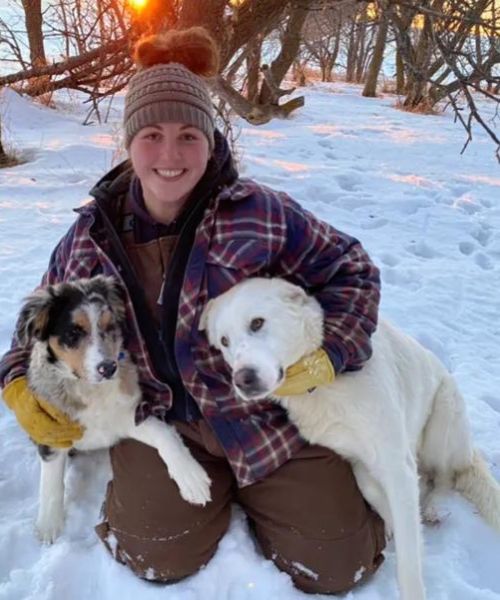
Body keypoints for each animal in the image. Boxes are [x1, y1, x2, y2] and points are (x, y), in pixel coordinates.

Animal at [200, 276, 500, 600]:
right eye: (224, 342)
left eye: (257, 323)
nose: (242, 379)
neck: (320, 388)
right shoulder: (355, 458)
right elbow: (373, 492)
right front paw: (390, 524)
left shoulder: (396, 464)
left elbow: (409, 560)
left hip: (442, 422)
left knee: (447, 477)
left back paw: (433, 505)